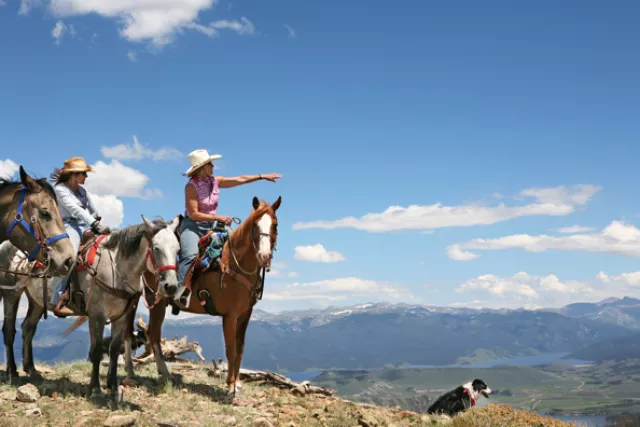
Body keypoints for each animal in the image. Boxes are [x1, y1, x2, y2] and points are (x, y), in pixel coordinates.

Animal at [0, 214, 180, 398]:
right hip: (11, 294)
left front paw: (113, 386)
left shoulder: (121, 316)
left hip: (35, 300)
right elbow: (96, 351)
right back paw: (12, 372)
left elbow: (114, 349)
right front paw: (95, 388)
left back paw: (31, 369)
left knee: (28, 328)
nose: (171, 286)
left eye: (178, 250)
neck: (115, 269)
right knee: (9, 331)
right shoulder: (97, 316)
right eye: (156, 248)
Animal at [126, 197, 282, 398]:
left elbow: (240, 349)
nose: (264, 256)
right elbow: (231, 350)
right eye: (255, 225)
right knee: (152, 333)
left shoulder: (245, 315)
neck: (235, 264)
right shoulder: (230, 315)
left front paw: (237, 383)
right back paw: (162, 372)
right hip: (155, 300)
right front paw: (230, 386)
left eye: (275, 225)